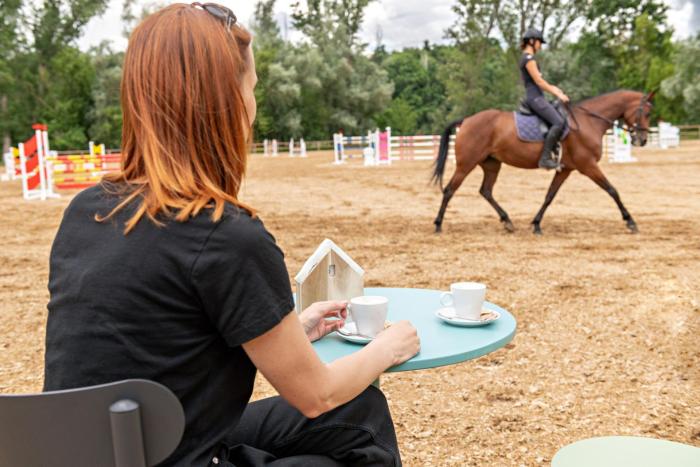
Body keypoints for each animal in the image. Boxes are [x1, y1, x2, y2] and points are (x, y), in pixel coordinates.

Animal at [432, 91, 656, 236]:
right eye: (645, 112)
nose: (643, 140)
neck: (588, 122)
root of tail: (466, 120)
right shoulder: (588, 166)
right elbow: (612, 190)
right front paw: (630, 221)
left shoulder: (566, 169)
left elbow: (549, 196)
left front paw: (536, 224)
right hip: (466, 165)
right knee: (449, 190)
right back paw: (438, 224)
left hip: (492, 164)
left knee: (486, 191)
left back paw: (507, 221)